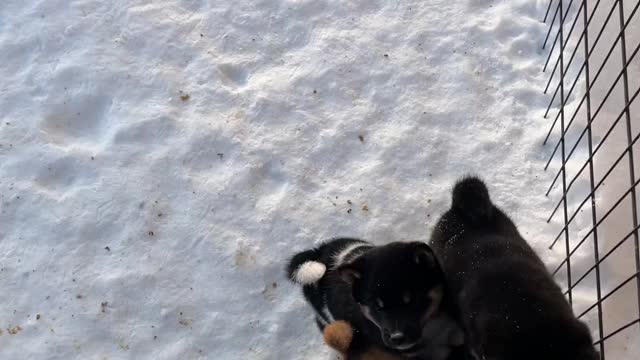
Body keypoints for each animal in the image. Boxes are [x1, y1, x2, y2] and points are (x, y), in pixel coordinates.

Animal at [286, 238, 464, 358]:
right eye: (378, 307)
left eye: (412, 300)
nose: (397, 339)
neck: (431, 326)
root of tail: (318, 253)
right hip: (325, 315)